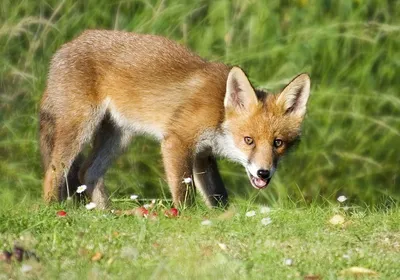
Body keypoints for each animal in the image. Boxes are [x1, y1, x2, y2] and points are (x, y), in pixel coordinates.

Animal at [39, 31, 310, 210]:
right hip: (80, 127)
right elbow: (184, 192)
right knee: (55, 170)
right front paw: (185, 217)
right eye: (248, 140)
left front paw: (221, 217)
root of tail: (65, 46)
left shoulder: (203, 154)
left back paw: (109, 214)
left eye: (278, 143)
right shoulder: (178, 141)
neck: (218, 111)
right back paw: (52, 209)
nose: (264, 172)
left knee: (88, 172)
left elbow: (218, 195)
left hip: (119, 137)